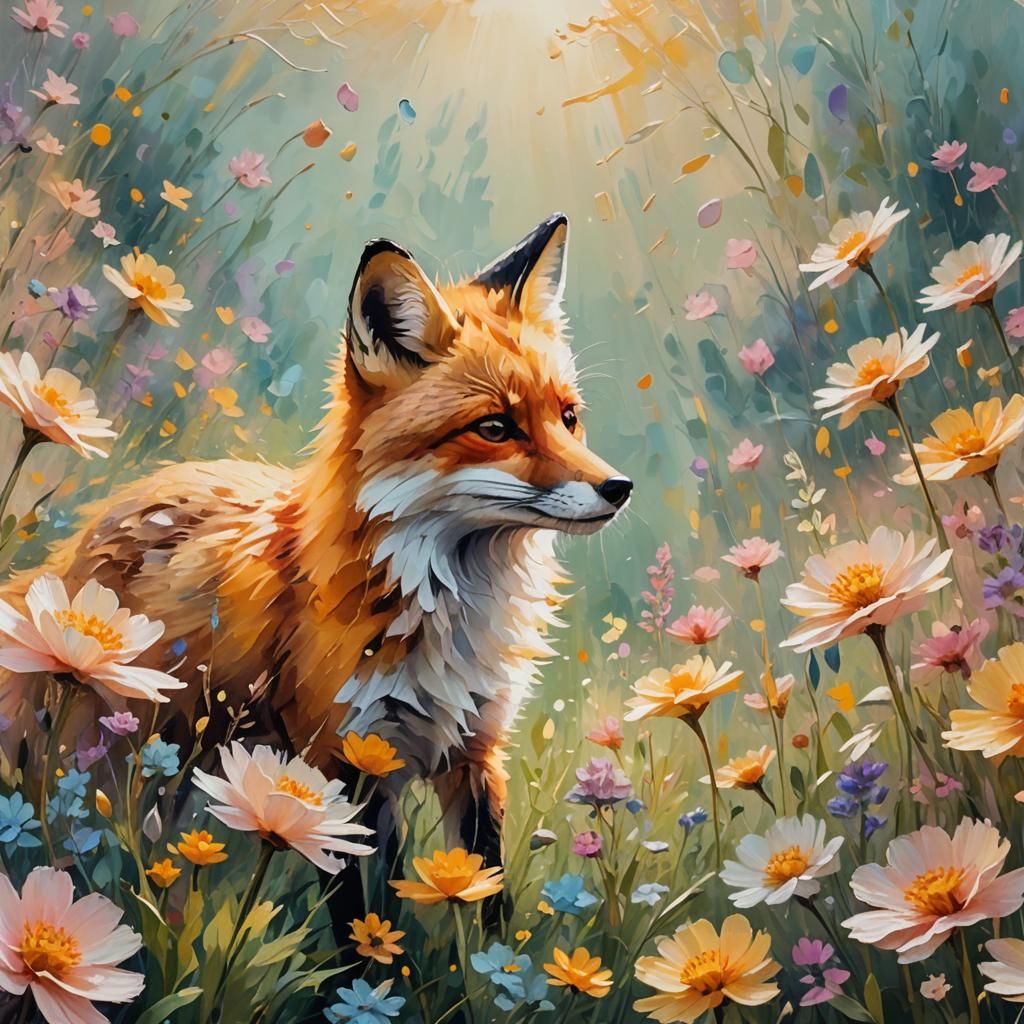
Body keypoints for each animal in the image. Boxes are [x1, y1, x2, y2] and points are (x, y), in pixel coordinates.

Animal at [0, 212, 631, 867]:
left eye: (568, 417)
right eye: (495, 428)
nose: (619, 487)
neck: (445, 607)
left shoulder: (476, 751)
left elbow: (481, 887)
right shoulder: (345, 756)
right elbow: (367, 891)